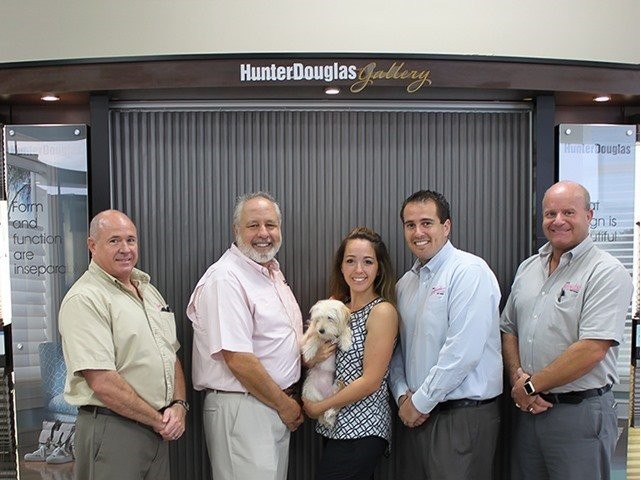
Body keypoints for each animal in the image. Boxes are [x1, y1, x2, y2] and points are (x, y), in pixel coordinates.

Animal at [298, 298, 350, 430]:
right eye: (318, 318)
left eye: (329, 318)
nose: (321, 330)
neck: (328, 336)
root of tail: (325, 396)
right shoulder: (308, 336)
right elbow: (314, 337)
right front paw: (309, 351)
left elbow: (344, 329)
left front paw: (346, 341)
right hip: (310, 392)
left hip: (336, 390)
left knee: (335, 405)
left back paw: (330, 414)